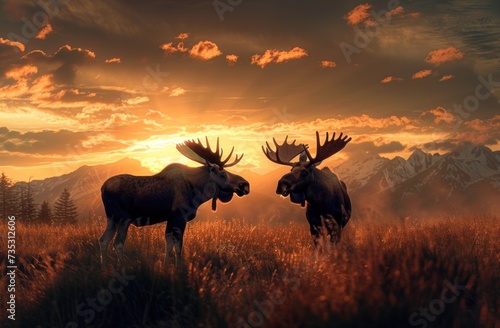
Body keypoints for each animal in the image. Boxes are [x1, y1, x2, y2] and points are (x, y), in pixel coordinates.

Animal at [99, 137, 250, 268]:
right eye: (223, 173)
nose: (245, 184)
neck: (197, 191)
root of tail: (102, 188)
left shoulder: (171, 219)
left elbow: (168, 245)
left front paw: (166, 267)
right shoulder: (179, 216)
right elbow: (178, 247)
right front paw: (179, 269)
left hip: (111, 218)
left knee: (103, 240)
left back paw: (104, 267)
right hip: (123, 218)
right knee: (118, 243)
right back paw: (123, 268)